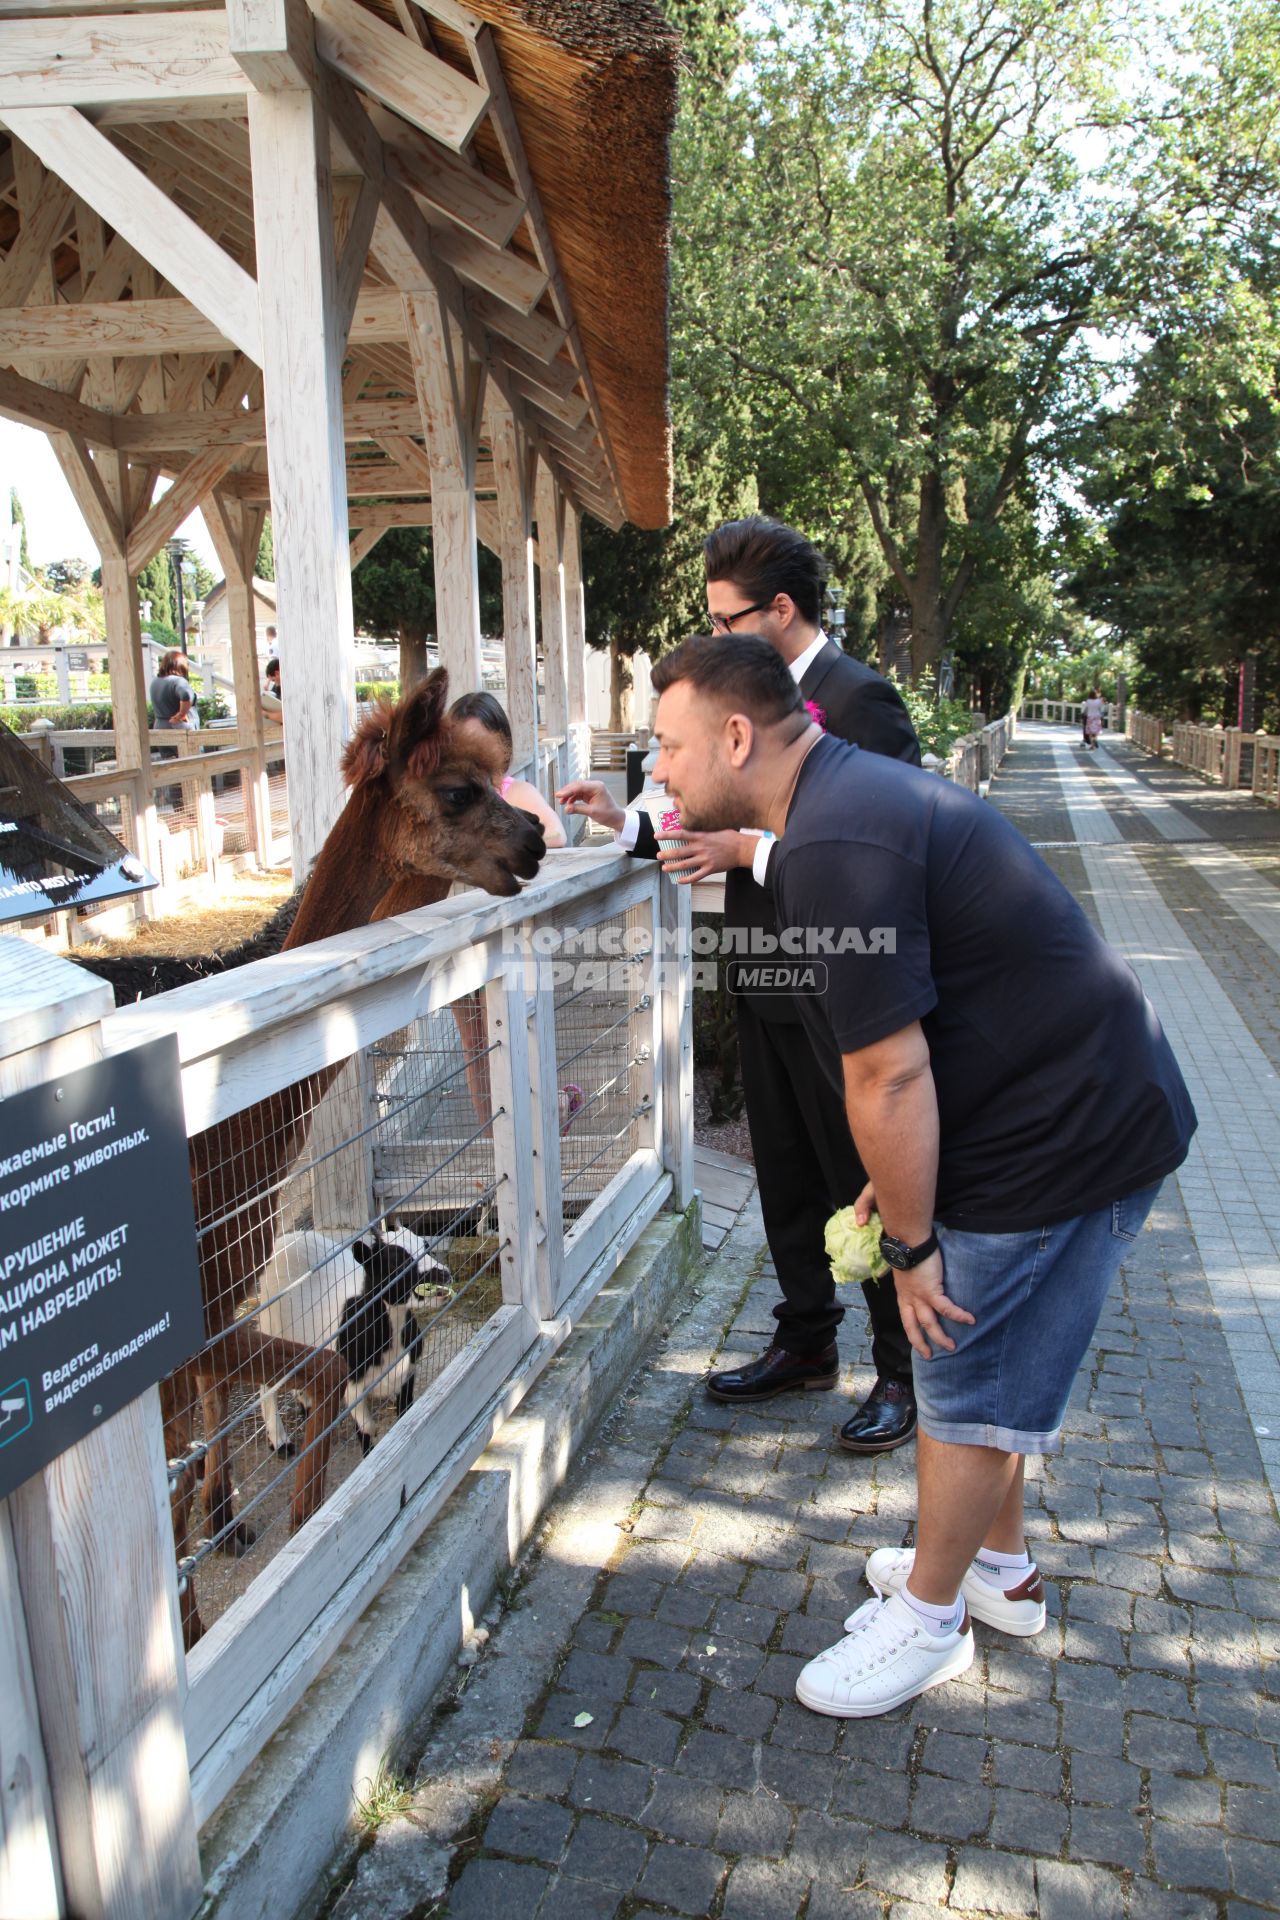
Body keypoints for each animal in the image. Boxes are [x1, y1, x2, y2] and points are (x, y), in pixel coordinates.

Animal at [255, 1228, 450, 1451]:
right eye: (395, 1263)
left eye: (426, 1246)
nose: (444, 1274)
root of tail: (287, 1238)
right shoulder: (352, 1387)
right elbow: (367, 1429)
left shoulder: (408, 1372)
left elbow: (405, 1413)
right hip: (271, 1326)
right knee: (267, 1387)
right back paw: (280, 1442)